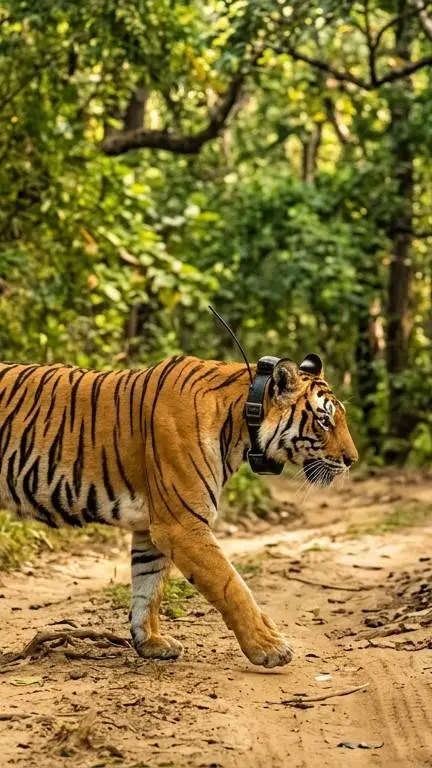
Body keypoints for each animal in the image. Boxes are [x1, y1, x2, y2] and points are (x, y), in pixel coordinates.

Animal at [0, 353, 357, 668]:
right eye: (324, 420)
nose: (352, 460)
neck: (242, 418)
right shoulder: (182, 524)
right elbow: (231, 585)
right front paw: (268, 647)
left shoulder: (152, 526)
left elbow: (148, 586)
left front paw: (150, 642)